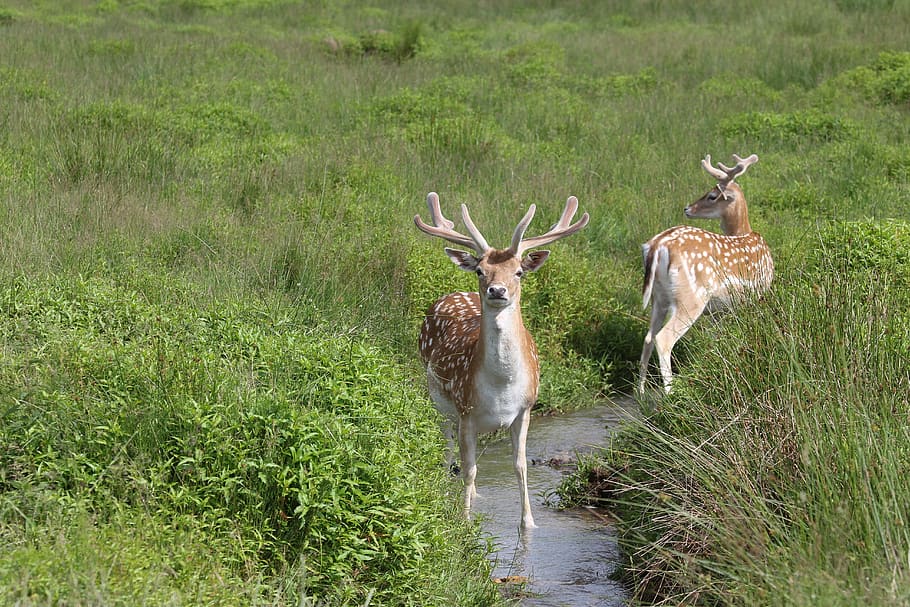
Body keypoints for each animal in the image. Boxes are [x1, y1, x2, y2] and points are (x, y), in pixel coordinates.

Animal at [414, 192, 589, 530]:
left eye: (519, 271)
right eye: (481, 270)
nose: (497, 290)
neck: (501, 387)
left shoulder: (526, 409)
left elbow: (519, 466)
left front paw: (528, 523)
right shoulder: (466, 409)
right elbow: (468, 467)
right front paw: (464, 521)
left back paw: (476, 496)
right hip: (439, 401)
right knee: (448, 449)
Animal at [638, 153, 774, 395]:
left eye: (711, 195)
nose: (687, 208)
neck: (745, 232)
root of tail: (656, 246)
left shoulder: (721, 310)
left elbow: (719, 340)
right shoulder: (756, 297)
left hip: (659, 297)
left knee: (648, 337)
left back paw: (641, 393)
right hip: (691, 297)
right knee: (664, 339)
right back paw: (671, 394)